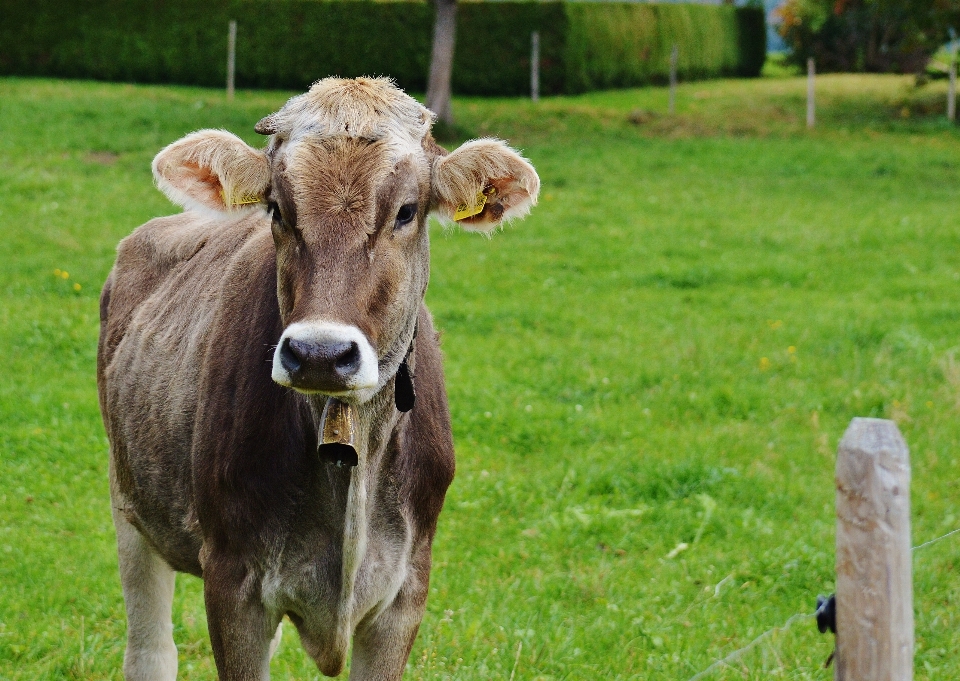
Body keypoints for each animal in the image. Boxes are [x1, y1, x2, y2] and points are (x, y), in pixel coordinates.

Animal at [97, 77, 540, 676]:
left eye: (406, 211)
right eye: (278, 209)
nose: (320, 354)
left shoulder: (406, 590)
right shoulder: (231, 580)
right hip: (129, 503)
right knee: (149, 650)